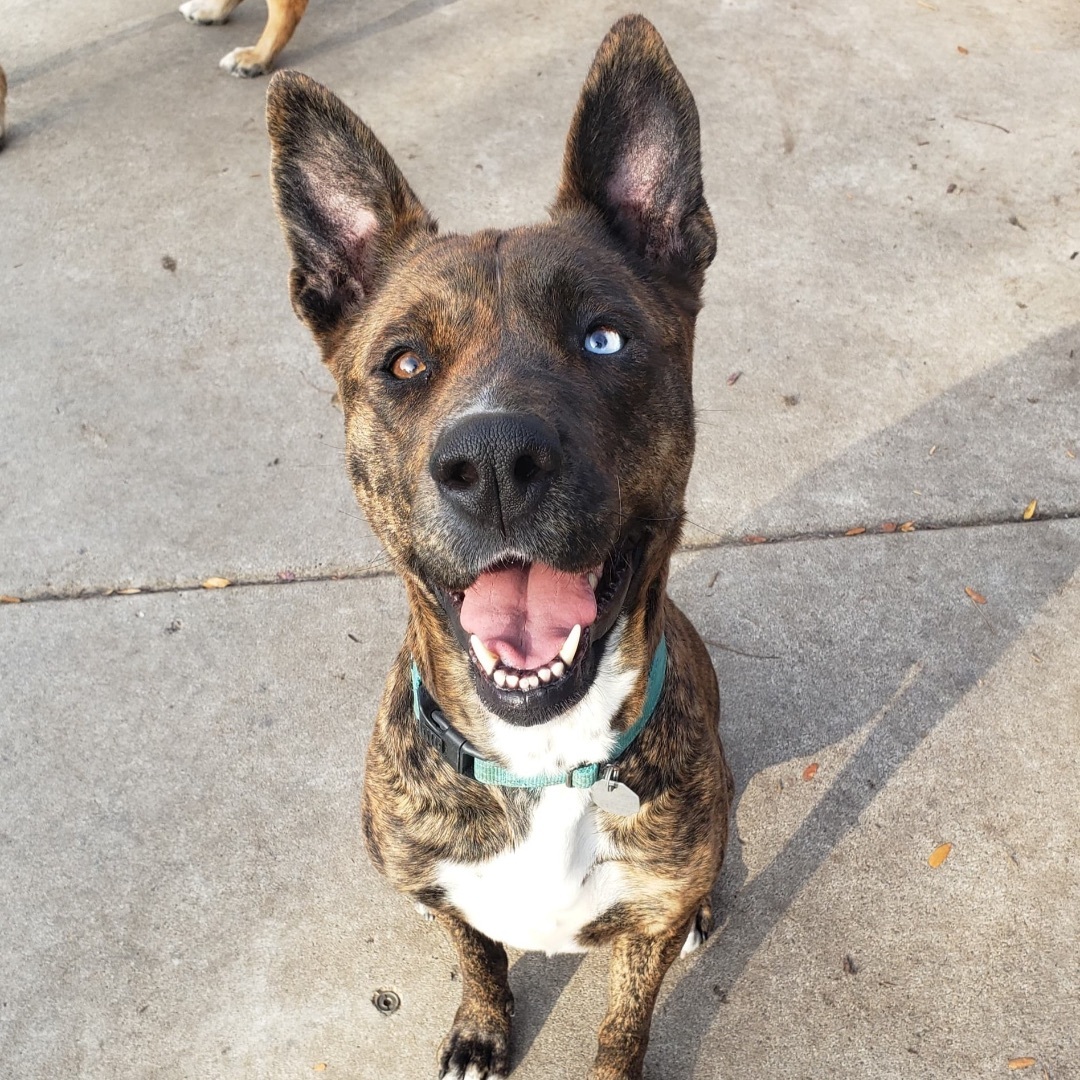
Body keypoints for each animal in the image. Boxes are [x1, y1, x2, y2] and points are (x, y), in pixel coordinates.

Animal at [265, 16, 734, 1080]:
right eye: (404, 363)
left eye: (604, 339)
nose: (491, 462)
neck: (542, 760)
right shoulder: (439, 888)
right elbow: (477, 955)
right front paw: (481, 1029)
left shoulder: (643, 925)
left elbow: (624, 1022)